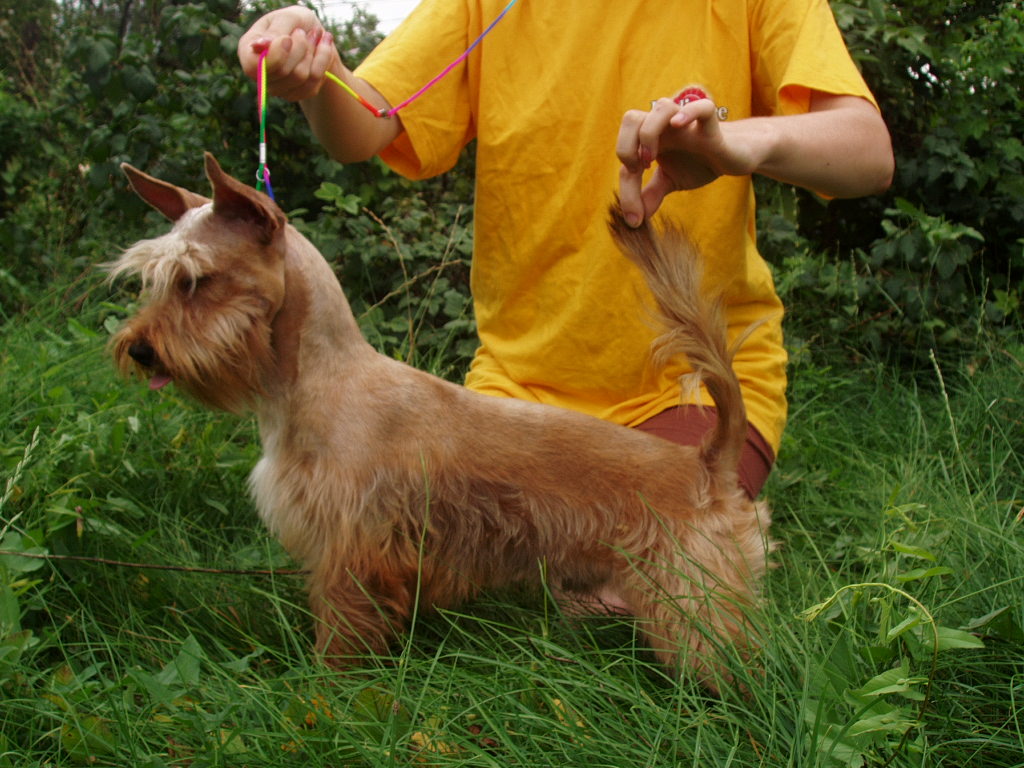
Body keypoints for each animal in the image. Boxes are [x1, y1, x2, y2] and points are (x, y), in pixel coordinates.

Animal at [108, 153, 772, 687]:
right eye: (152, 281)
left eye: (197, 280)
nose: (139, 349)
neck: (319, 381)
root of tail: (705, 463)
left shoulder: (352, 556)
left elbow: (340, 640)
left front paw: (327, 695)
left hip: (692, 607)